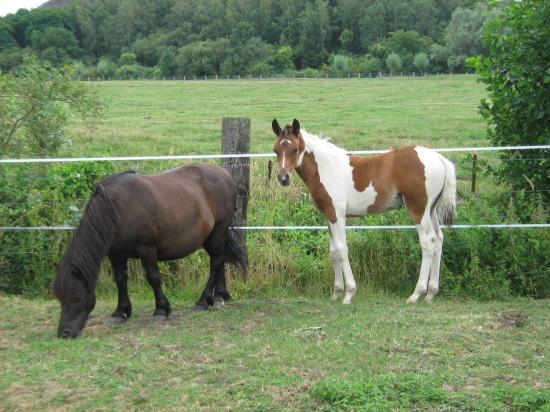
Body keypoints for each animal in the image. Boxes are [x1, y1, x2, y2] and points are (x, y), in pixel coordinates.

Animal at [54, 163, 248, 338]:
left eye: (77, 297)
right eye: (59, 297)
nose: (65, 332)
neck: (117, 209)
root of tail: (224, 173)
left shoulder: (147, 250)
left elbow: (153, 278)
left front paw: (161, 310)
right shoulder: (116, 255)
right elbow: (120, 281)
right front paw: (120, 312)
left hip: (218, 231)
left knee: (216, 262)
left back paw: (203, 301)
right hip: (210, 237)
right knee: (219, 260)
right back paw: (219, 297)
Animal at [274, 119, 460, 306]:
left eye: (295, 148)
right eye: (276, 149)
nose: (283, 179)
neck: (327, 168)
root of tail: (437, 157)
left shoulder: (337, 214)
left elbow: (341, 249)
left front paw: (349, 293)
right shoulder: (328, 215)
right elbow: (333, 251)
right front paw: (336, 293)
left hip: (418, 210)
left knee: (428, 242)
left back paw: (416, 294)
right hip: (431, 210)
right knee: (438, 239)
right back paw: (431, 293)